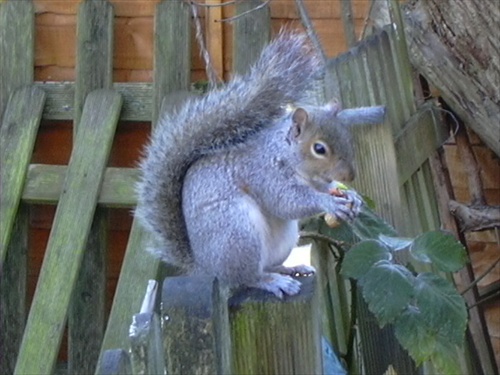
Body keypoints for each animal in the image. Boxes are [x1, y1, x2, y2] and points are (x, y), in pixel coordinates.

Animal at [135, 30, 384, 300]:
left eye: (347, 137)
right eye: (319, 149)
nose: (349, 175)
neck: (287, 156)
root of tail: (205, 267)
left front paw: (352, 197)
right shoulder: (264, 174)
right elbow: (286, 201)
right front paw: (328, 202)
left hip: (282, 240)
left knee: (268, 265)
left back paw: (289, 269)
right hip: (238, 235)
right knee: (246, 278)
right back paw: (273, 282)